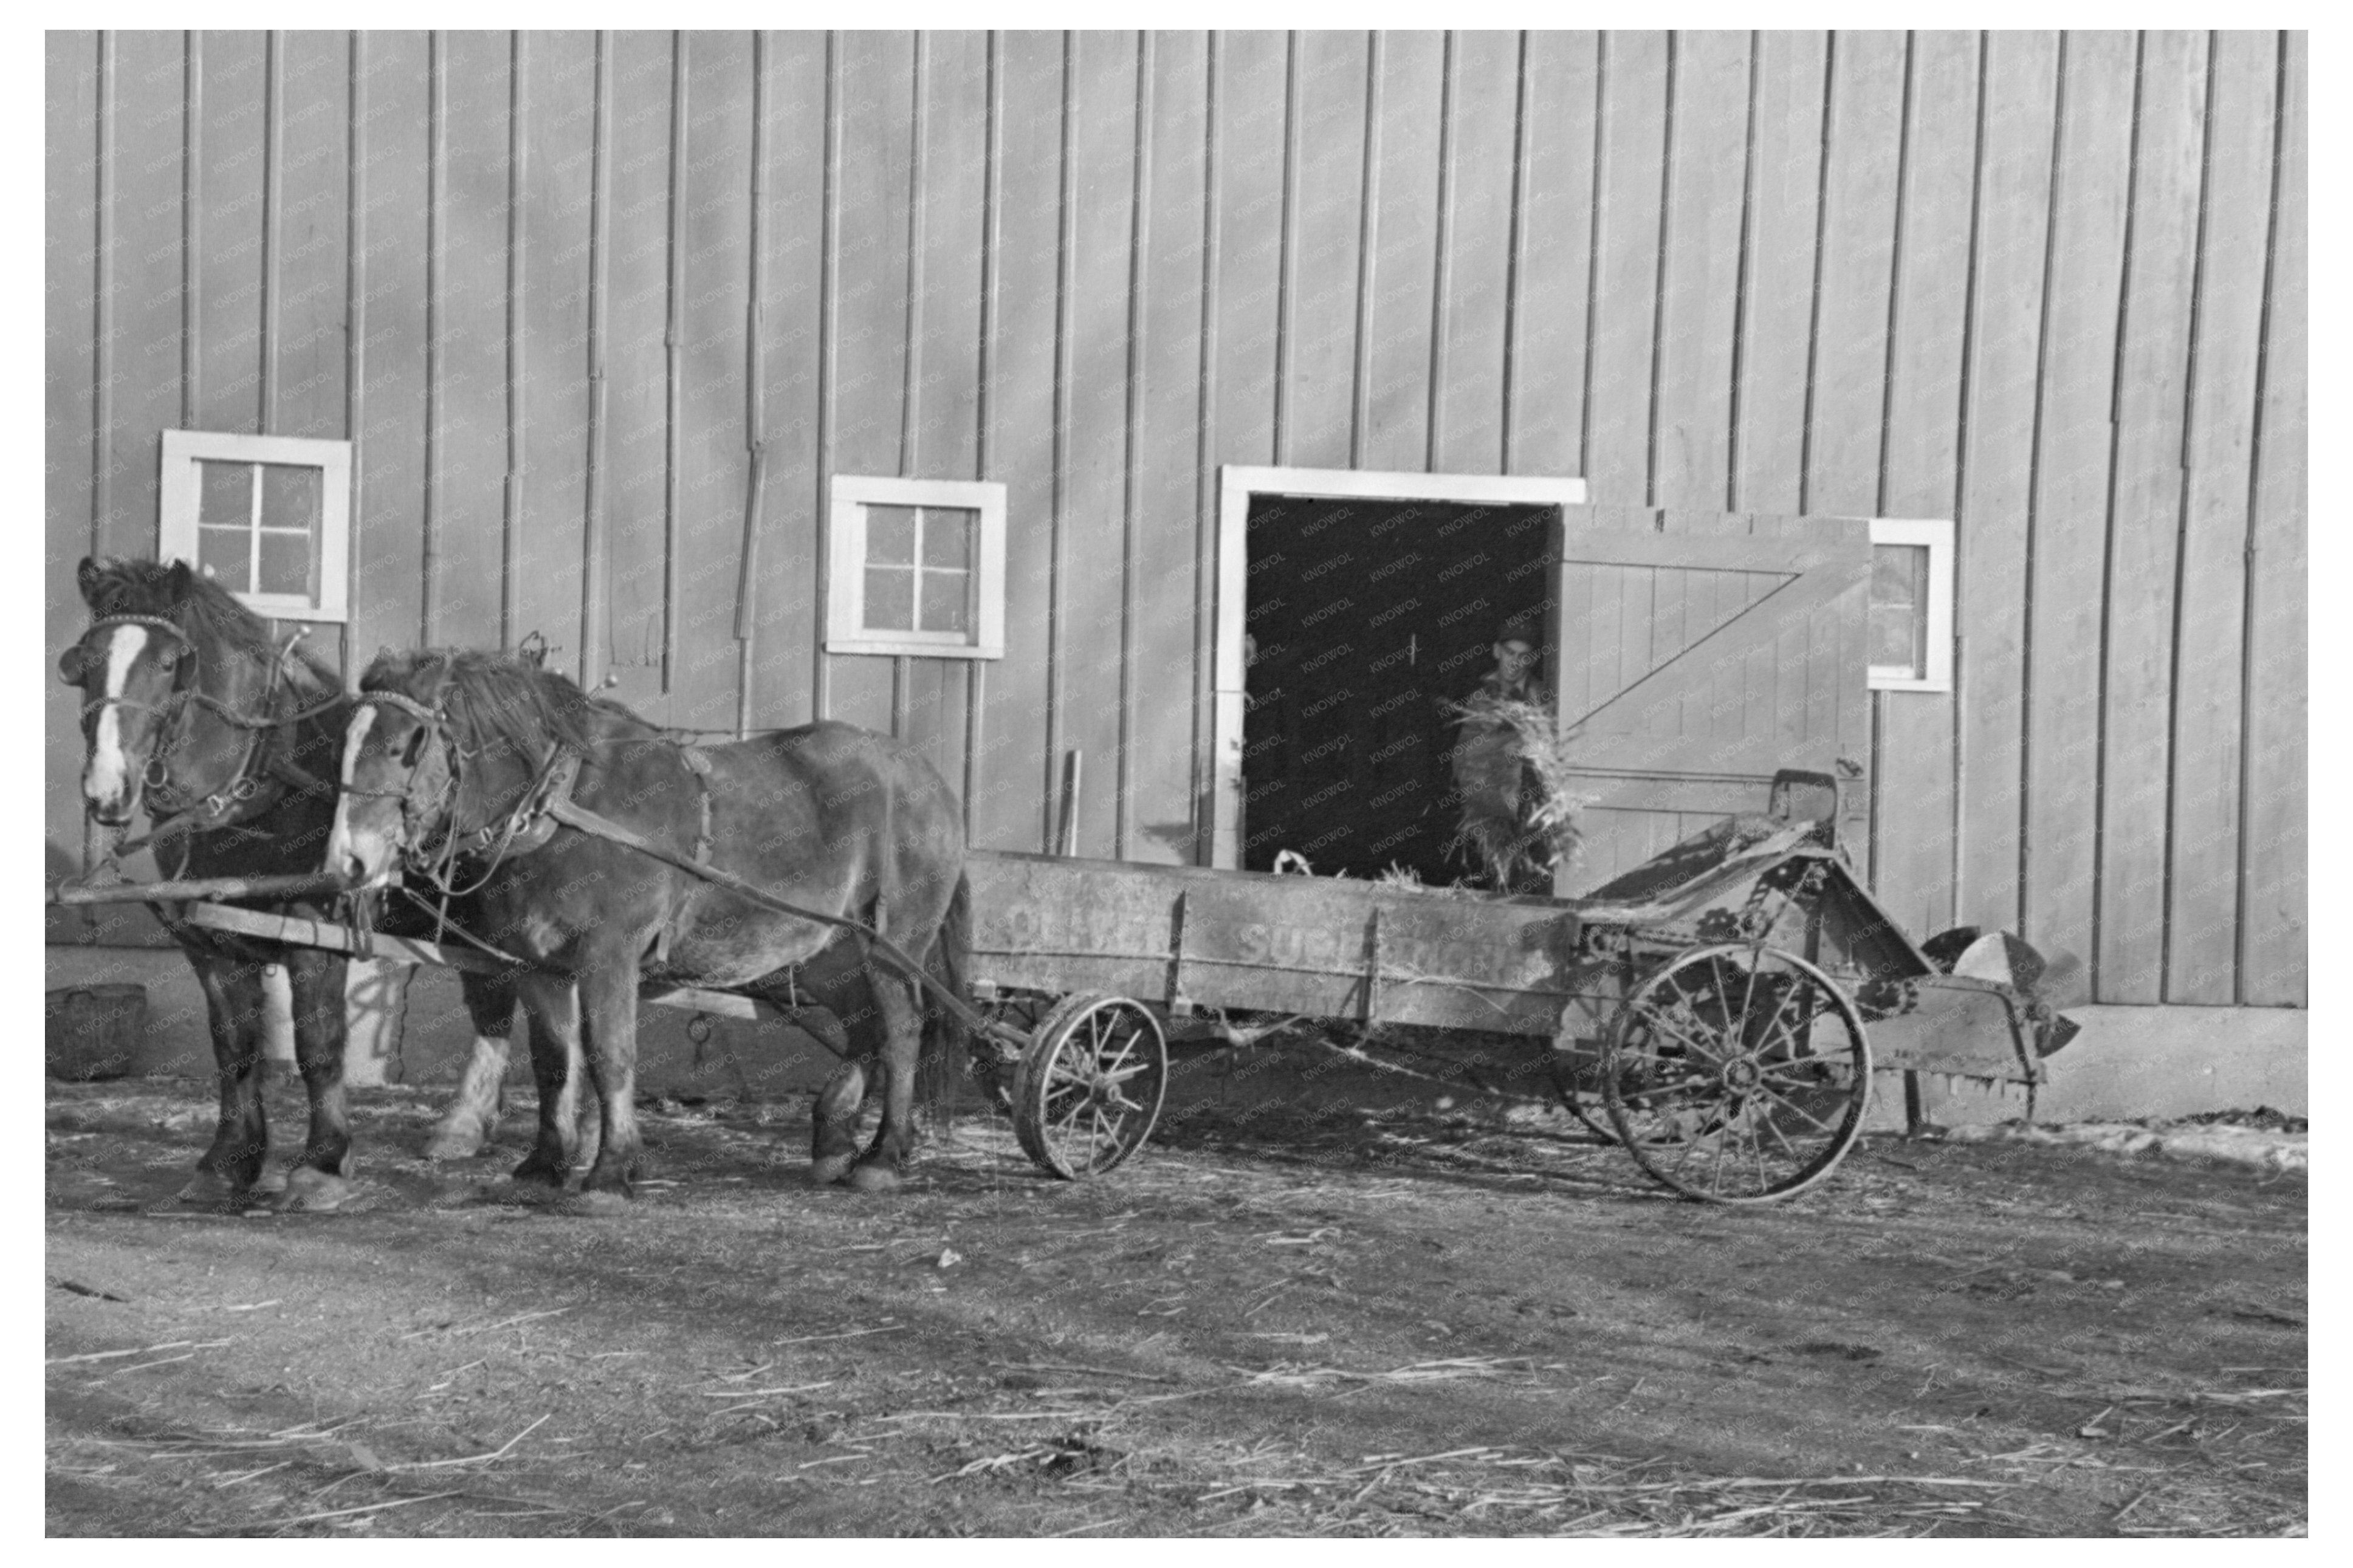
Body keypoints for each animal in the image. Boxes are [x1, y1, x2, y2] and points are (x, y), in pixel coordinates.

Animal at [60, 557, 524, 1213]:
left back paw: (471, 1120)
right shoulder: (211, 948)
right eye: (84, 661)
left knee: (503, 998)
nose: (108, 789)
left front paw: (323, 1163)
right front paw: (229, 1161)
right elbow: (235, 1050)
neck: (260, 790)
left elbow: (318, 1049)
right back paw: (472, 1124)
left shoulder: (317, 935)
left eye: (170, 662)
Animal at [327, 649, 969, 1203]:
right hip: (821, 952)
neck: (565, 808)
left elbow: (610, 1055)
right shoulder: (537, 966)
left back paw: (883, 1157)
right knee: (863, 1021)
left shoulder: (608, 955)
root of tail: (926, 775)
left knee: (902, 1028)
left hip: (894, 943)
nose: (348, 860)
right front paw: (546, 1163)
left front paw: (610, 1171)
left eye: (402, 745)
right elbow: (553, 1062)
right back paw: (835, 1138)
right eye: (346, 743)